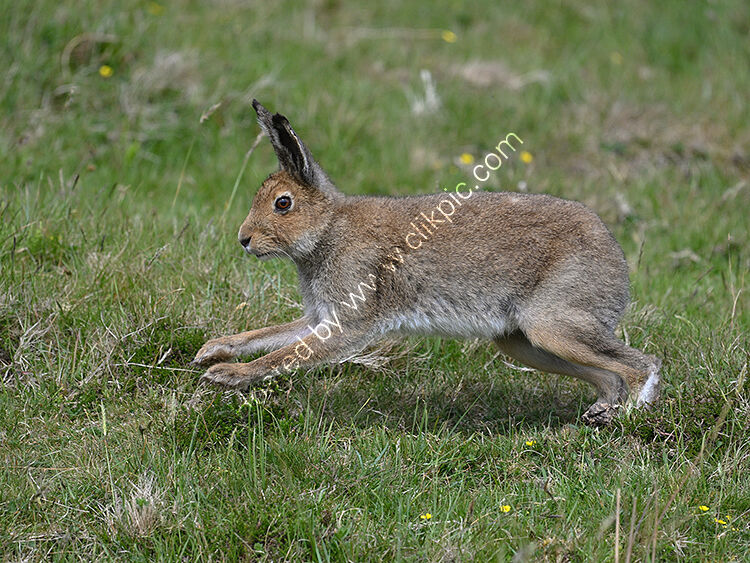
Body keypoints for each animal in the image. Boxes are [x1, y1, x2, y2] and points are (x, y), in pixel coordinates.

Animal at [193, 99, 661, 425]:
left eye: (283, 204)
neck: (328, 229)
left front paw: (226, 375)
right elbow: (271, 336)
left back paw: (626, 418)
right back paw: (597, 416)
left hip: (554, 325)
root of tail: (618, 266)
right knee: (609, 376)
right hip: (524, 342)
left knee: (640, 366)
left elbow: (285, 355)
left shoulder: (349, 322)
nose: (244, 240)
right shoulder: (319, 318)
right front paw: (212, 350)